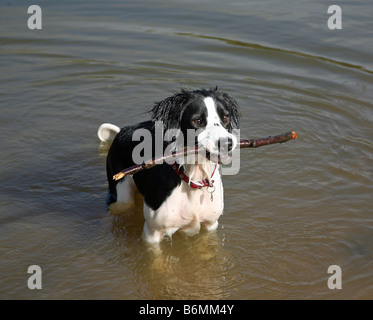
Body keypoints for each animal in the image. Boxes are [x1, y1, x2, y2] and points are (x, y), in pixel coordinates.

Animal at [97, 87, 240, 242]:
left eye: (225, 117)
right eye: (198, 121)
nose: (227, 143)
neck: (192, 178)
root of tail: (121, 131)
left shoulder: (210, 224)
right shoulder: (152, 233)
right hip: (121, 195)